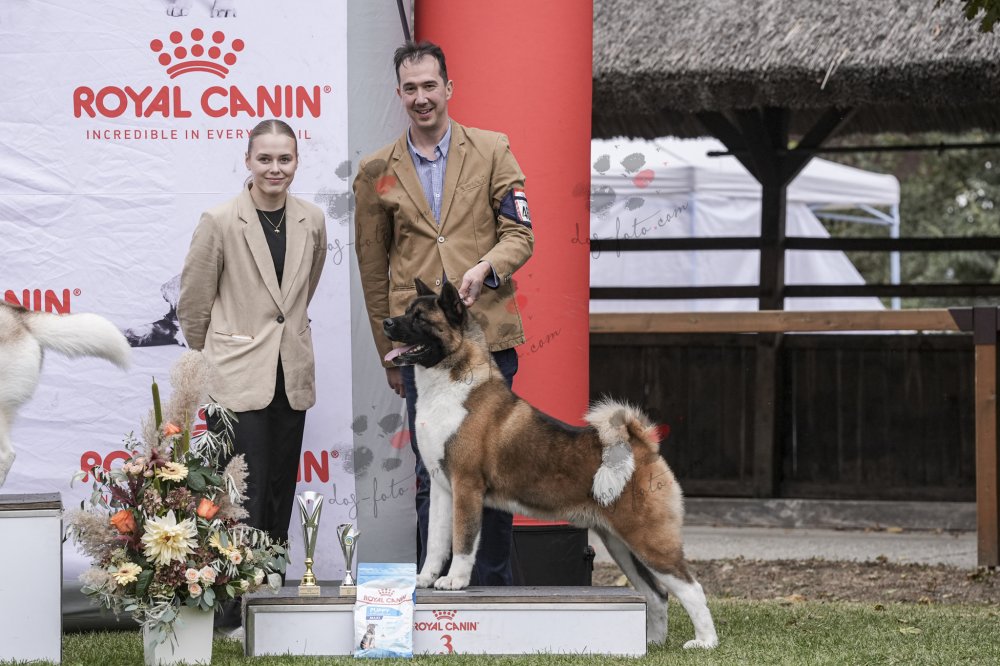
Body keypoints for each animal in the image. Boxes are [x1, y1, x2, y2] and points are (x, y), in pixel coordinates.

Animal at [382, 279, 718, 649]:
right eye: (406, 310)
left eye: (420, 318)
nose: (386, 322)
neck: (450, 386)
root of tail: (642, 445)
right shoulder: (443, 489)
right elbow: (436, 543)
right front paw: (425, 579)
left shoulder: (466, 486)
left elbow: (464, 541)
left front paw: (454, 581)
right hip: (622, 543)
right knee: (656, 594)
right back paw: (654, 643)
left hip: (649, 539)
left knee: (692, 588)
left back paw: (705, 642)